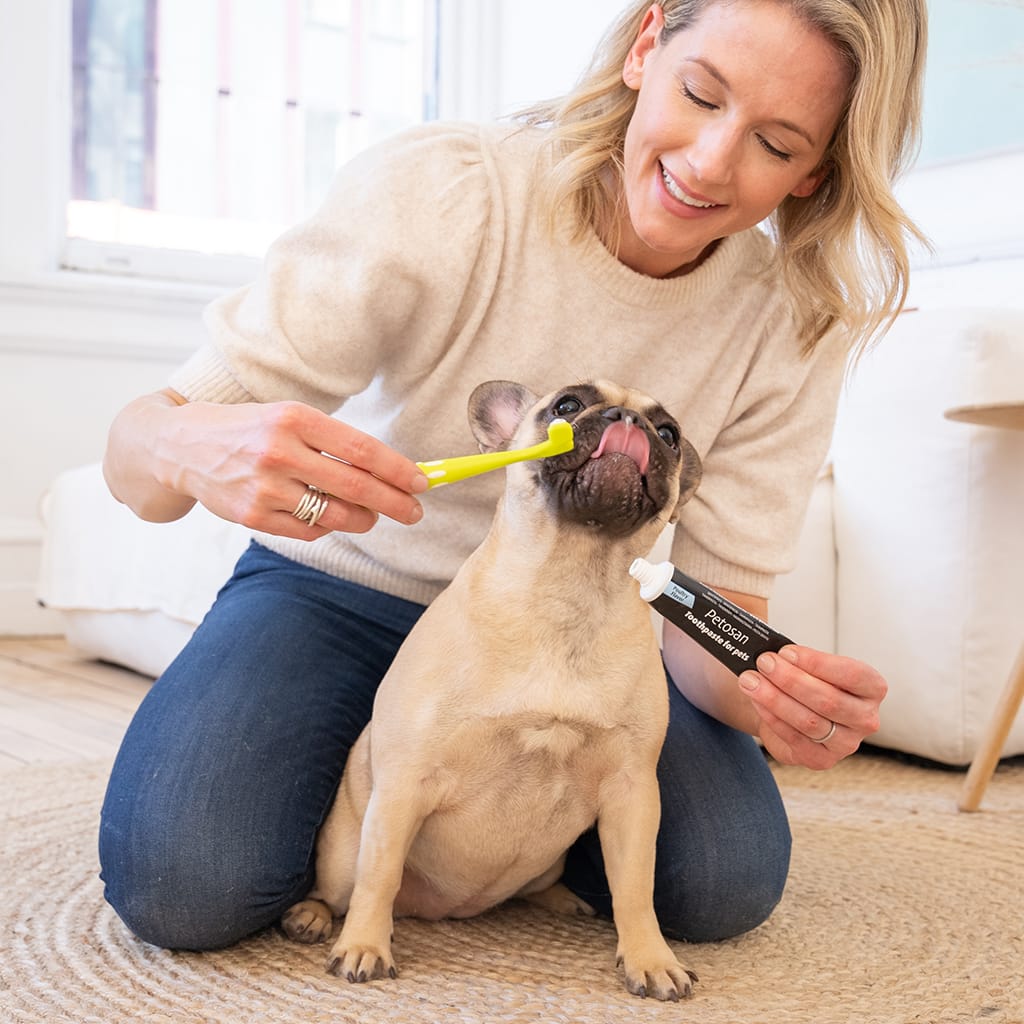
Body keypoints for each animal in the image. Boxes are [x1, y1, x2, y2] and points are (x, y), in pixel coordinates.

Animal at [284, 380, 708, 995]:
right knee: (343, 886)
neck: (569, 584)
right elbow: (379, 874)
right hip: (343, 852)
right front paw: (364, 945)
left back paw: (561, 898)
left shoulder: (632, 795)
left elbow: (635, 888)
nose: (627, 420)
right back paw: (314, 917)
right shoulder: (405, 784)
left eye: (670, 434)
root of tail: (445, 911)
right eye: (567, 406)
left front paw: (651, 958)